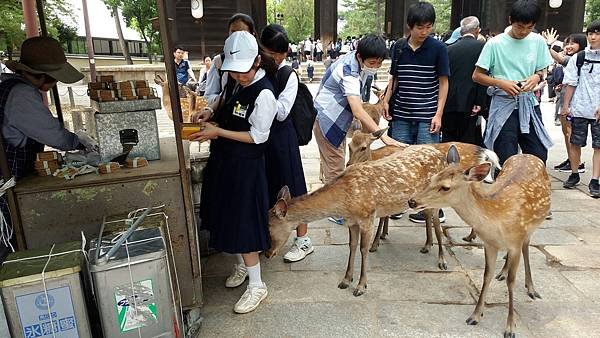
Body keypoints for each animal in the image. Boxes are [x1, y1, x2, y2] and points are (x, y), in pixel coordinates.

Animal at [270, 144, 500, 298]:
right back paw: (426, 246)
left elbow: (363, 249)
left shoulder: (367, 216)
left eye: (269, 227)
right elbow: (351, 246)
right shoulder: (351, 221)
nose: (267, 252)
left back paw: (442, 260)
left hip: (438, 198)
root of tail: (441, 155)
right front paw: (345, 280)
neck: (344, 200)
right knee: (428, 218)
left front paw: (360, 286)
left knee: (436, 222)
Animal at [410, 147, 552, 338]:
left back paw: (531, 289)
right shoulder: (489, 244)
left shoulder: (516, 240)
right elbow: (486, 275)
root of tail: (527, 154)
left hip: (530, 229)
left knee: (526, 248)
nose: (412, 201)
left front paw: (510, 327)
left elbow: (511, 282)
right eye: (432, 178)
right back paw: (503, 272)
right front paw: (475, 315)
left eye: (445, 187)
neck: (495, 219)